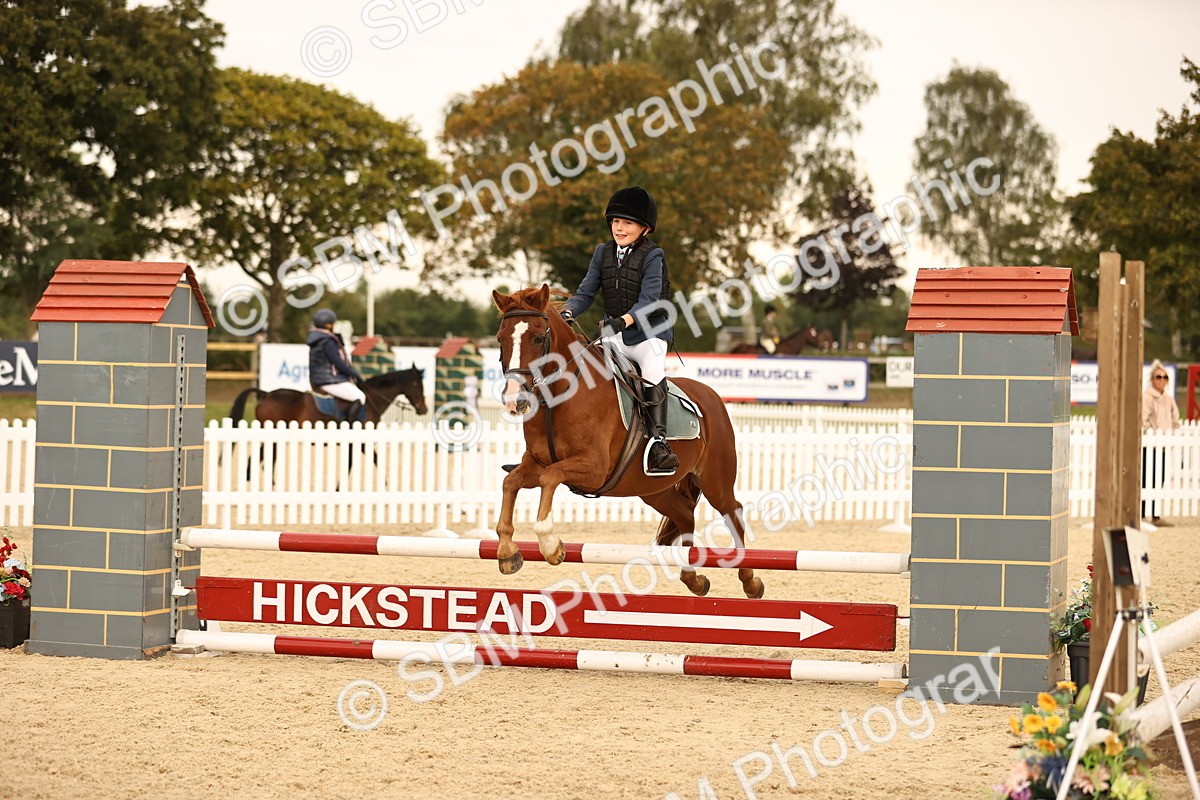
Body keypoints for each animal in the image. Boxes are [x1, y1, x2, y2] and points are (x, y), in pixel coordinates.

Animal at [491, 285, 763, 599]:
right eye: (500, 339)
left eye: (537, 337)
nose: (515, 400)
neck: (560, 395)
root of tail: (711, 396)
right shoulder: (534, 463)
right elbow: (510, 482)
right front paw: (508, 552)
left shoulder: (593, 468)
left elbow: (550, 477)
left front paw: (550, 544)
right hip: (653, 489)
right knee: (685, 516)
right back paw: (693, 579)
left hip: (715, 480)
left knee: (734, 513)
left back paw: (750, 580)